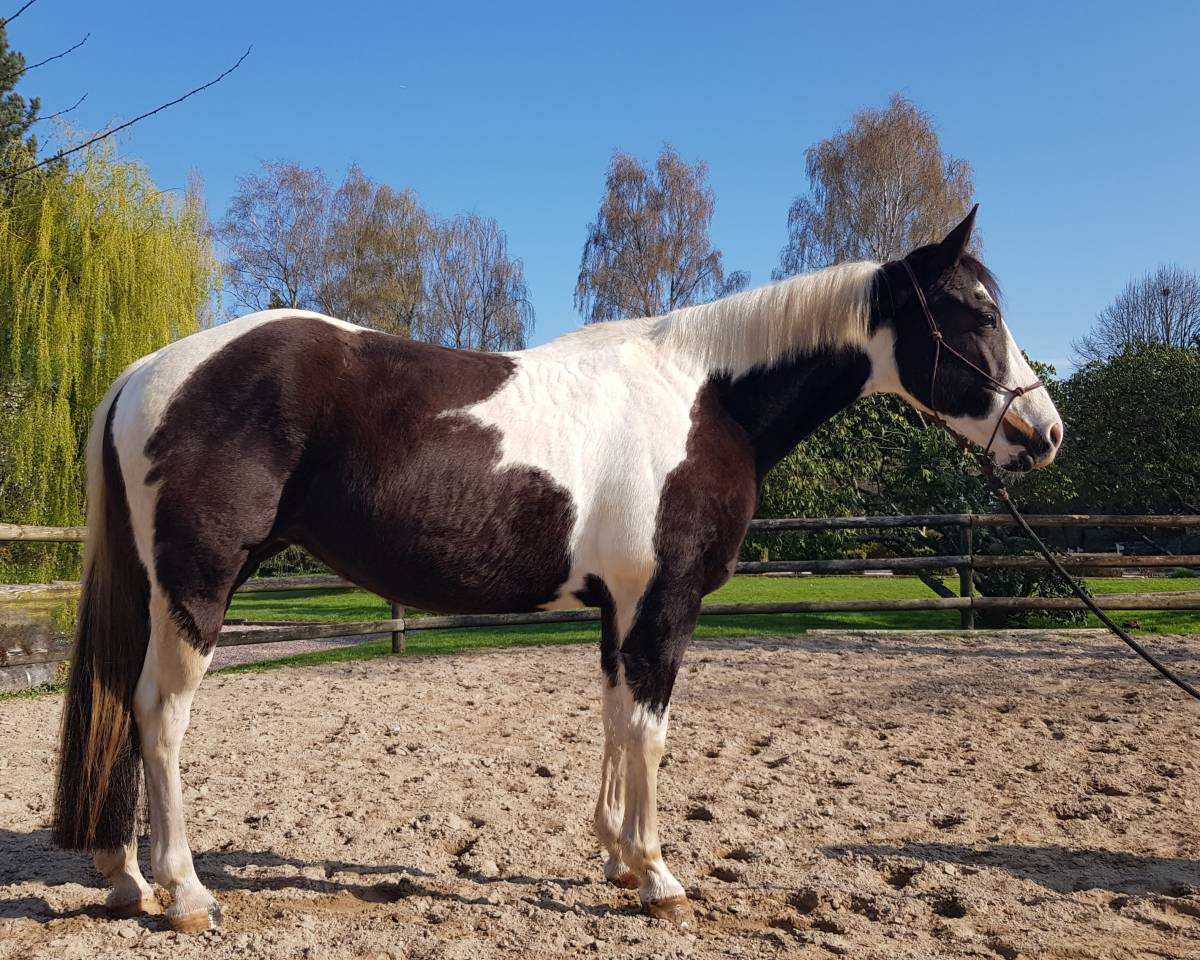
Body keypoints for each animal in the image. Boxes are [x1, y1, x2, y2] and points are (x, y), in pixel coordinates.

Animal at [51, 206, 1062, 933]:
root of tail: (148, 370)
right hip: (197, 590)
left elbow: (615, 721)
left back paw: (126, 877)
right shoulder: (664, 603)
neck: (708, 395)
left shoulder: (620, 607)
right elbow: (650, 732)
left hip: (153, 592)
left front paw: (614, 856)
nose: (1043, 432)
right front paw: (659, 878)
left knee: (121, 706)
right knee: (159, 716)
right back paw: (185, 893)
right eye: (976, 313)